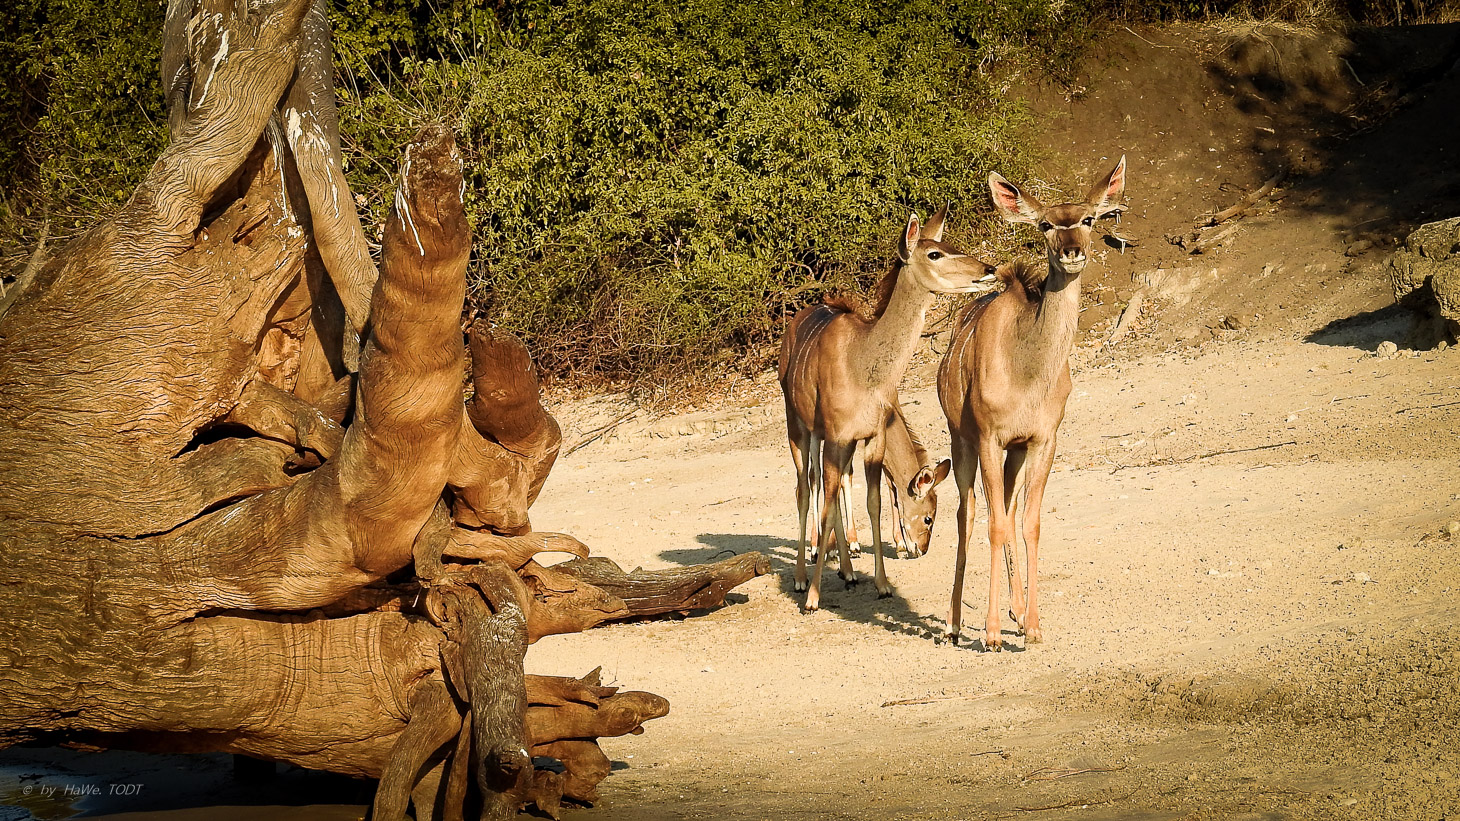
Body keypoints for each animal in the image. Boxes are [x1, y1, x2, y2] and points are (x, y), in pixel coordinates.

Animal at [780, 206, 995, 611]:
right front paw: (814, 596)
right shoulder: (837, 436)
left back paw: (847, 570)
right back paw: (804, 575)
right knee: (805, 488)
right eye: (934, 253)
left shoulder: (870, 438)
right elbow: (827, 497)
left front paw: (881, 584)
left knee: (829, 488)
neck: (861, 362)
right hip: (798, 429)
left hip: (830, 440)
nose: (988, 269)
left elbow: (874, 501)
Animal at [937, 156, 1126, 649]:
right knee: (969, 514)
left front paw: (1034, 626)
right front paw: (990, 634)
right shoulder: (988, 436)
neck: (1027, 371)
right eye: (1044, 224)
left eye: (1088, 219)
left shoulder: (1042, 440)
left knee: (1007, 508)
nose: (1072, 252)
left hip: (1014, 453)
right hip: (961, 440)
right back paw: (953, 623)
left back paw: (1017, 613)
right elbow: (993, 523)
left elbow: (1029, 523)